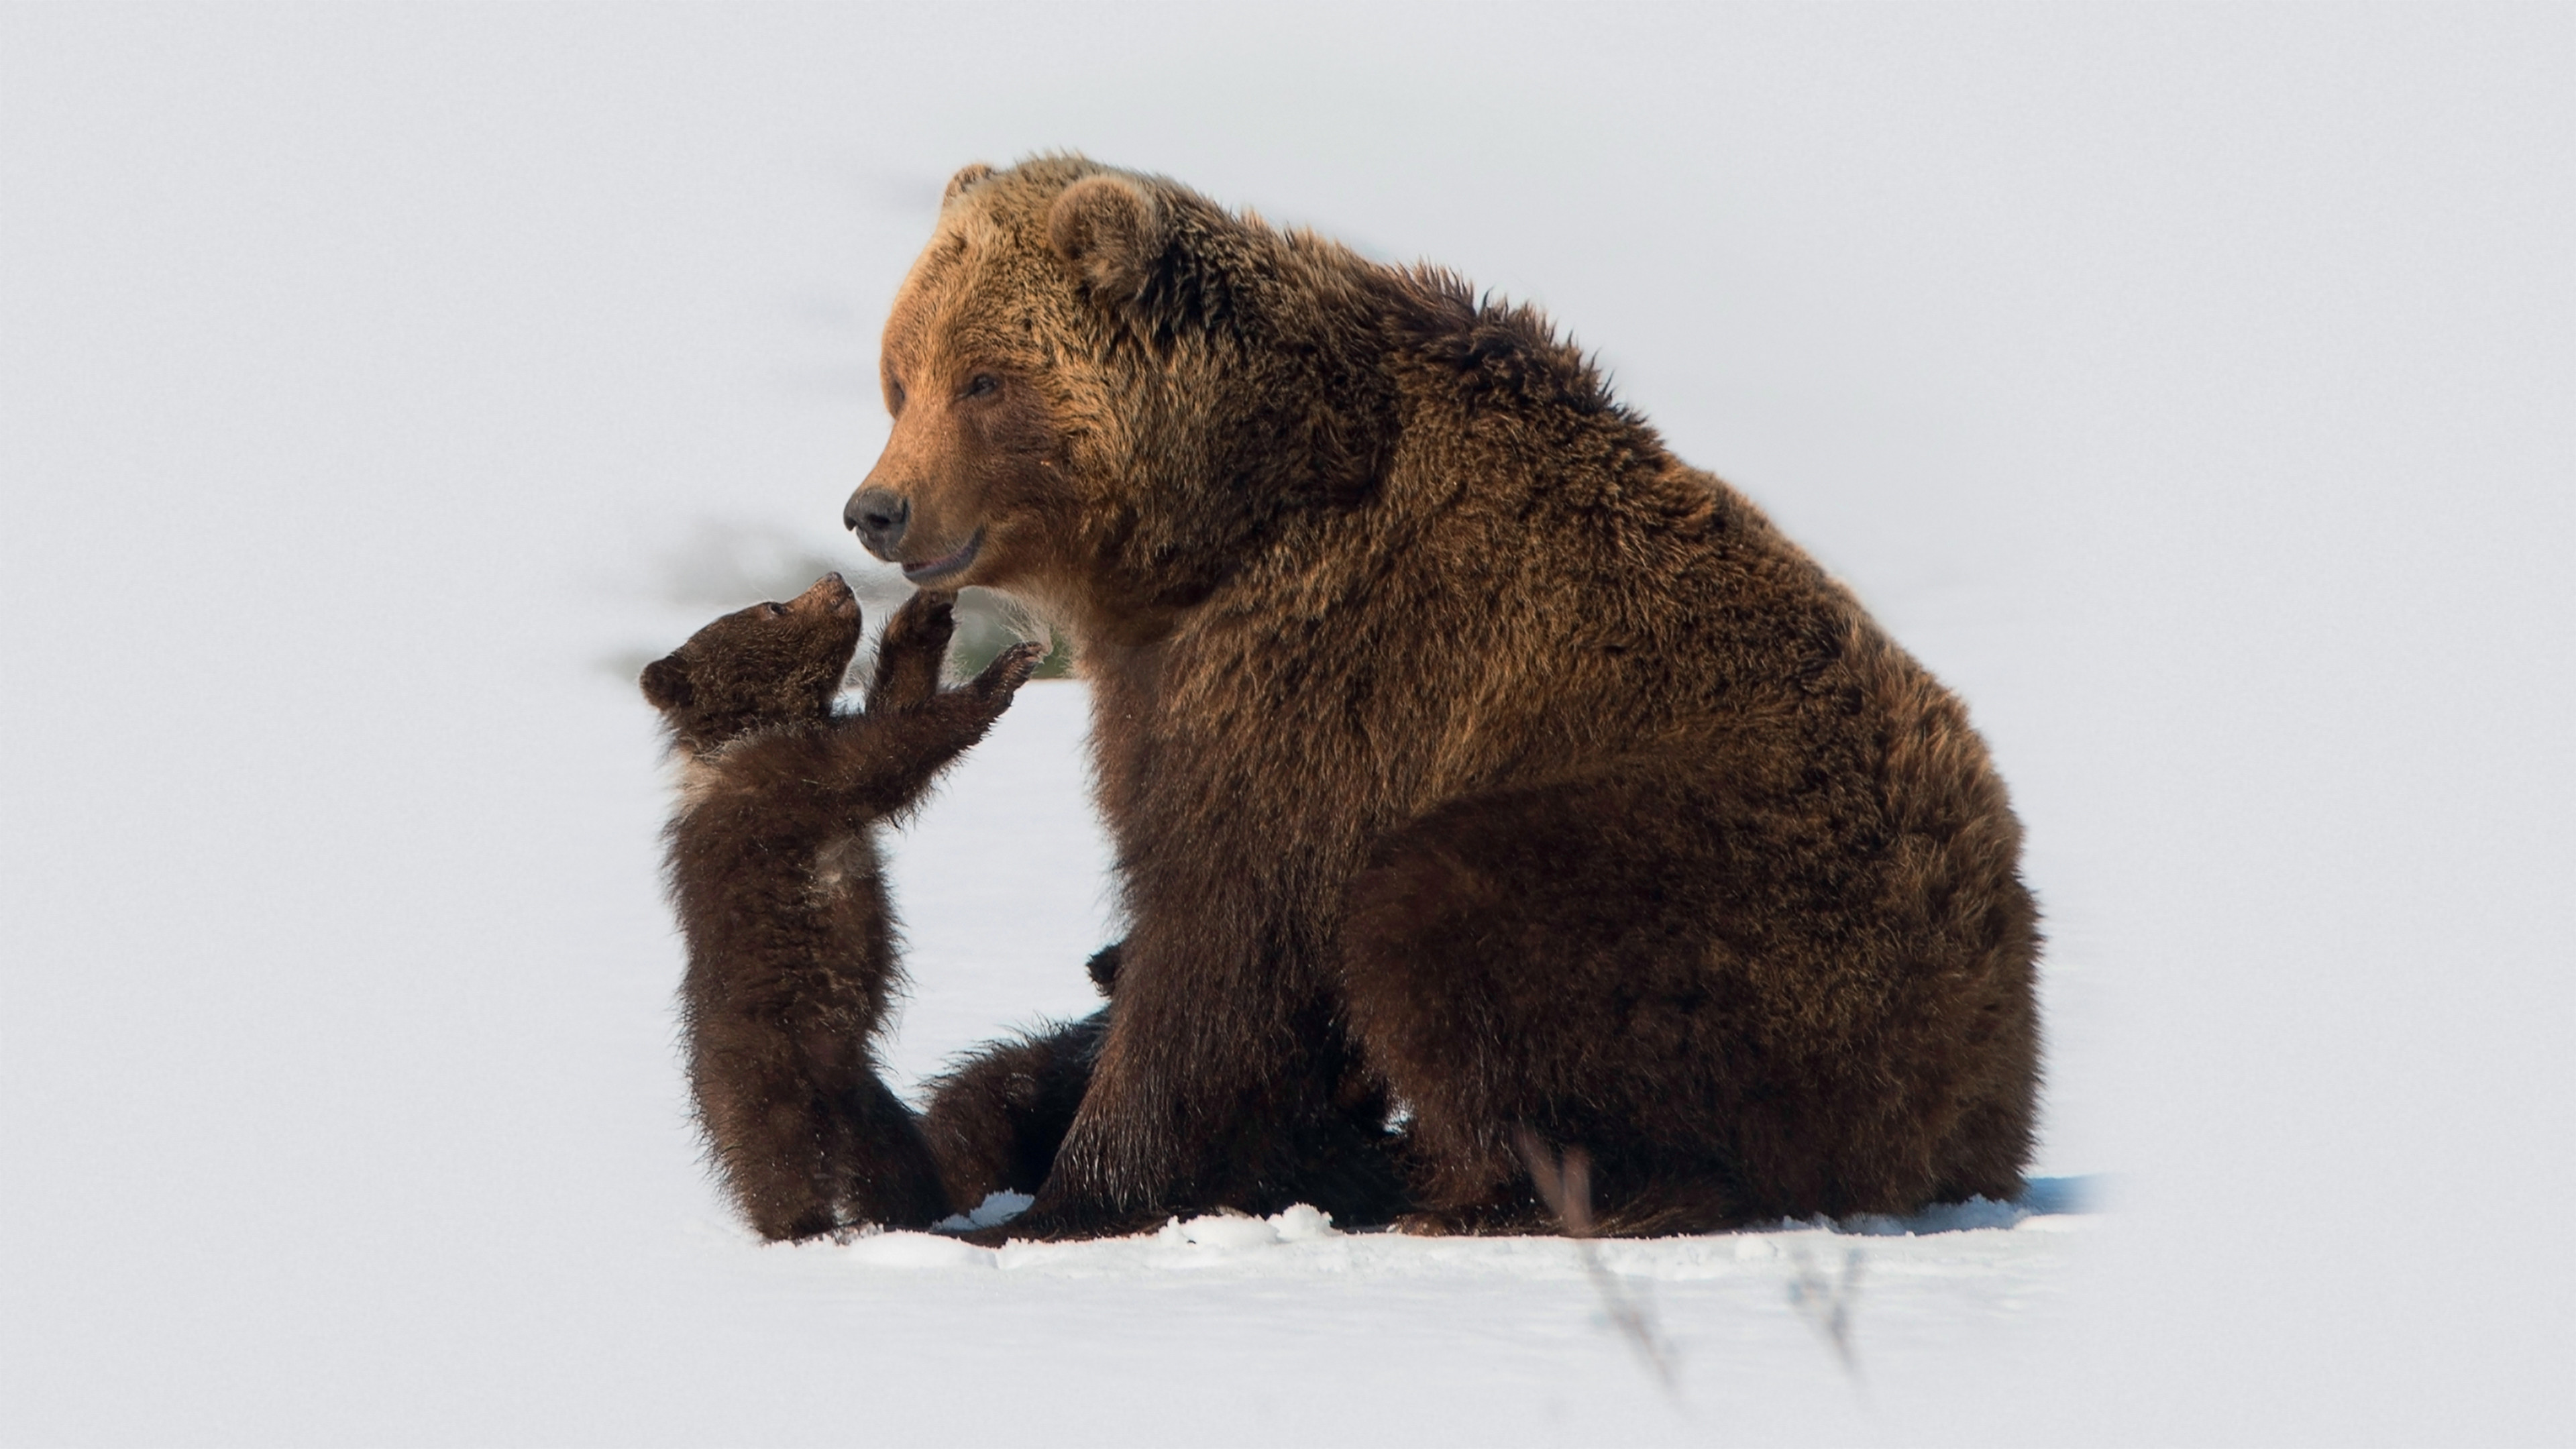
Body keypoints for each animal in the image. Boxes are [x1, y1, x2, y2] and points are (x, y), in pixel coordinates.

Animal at [855, 158, 2040, 1237]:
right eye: (900, 376)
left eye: (984, 380)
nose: (876, 508)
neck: (1215, 521)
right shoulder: (1179, 669)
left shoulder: (1324, 670)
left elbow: (1225, 931)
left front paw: (1067, 1197)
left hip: (1746, 887)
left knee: (1437, 913)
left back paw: (1476, 1194)